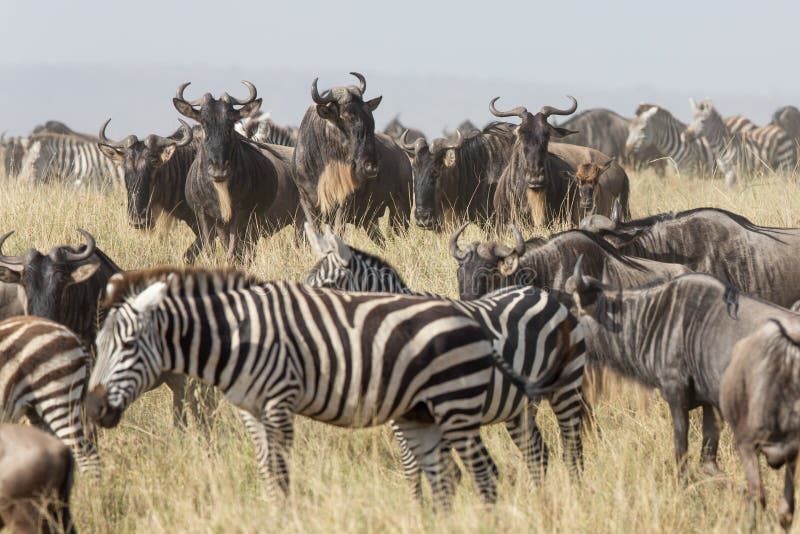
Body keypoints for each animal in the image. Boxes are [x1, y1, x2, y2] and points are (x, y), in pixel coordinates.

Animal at [84, 268, 552, 510]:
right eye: (98, 346)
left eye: (128, 345)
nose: (92, 408)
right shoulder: (250, 410)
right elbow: (266, 468)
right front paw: (274, 513)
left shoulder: (279, 401)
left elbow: (283, 469)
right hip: (477, 411)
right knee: (517, 459)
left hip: (465, 404)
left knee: (494, 469)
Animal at [304, 225, 584, 498]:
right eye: (307, 281)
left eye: (328, 284)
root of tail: (538, 292)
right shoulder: (405, 416)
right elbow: (419, 467)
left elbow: (436, 469)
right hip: (519, 407)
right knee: (537, 453)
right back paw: (538, 500)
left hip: (566, 390)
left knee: (572, 449)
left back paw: (573, 496)